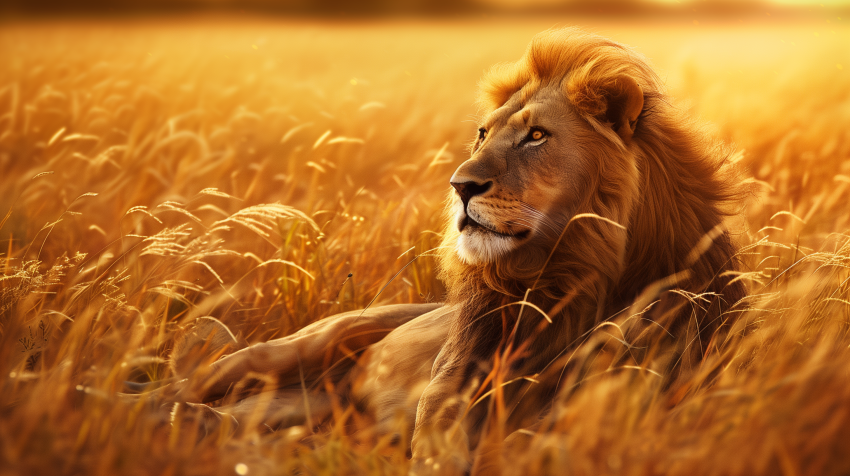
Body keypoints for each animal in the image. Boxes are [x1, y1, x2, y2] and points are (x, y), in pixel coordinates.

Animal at [139, 28, 746, 475]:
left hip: (289, 414)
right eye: (482, 134)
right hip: (285, 352)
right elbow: (440, 435)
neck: (565, 277)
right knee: (183, 386)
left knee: (216, 417)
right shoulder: (452, 383)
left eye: (537, 137)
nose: (460, 185)